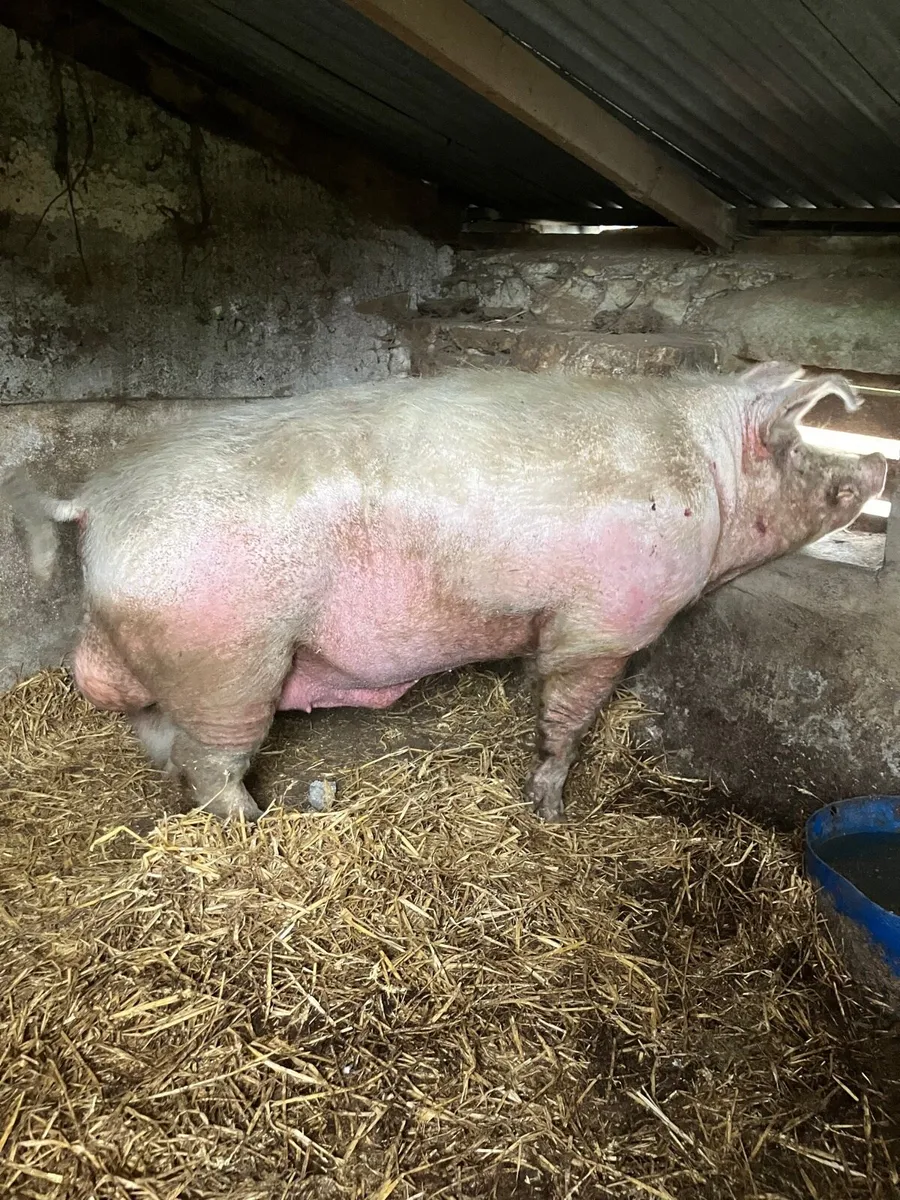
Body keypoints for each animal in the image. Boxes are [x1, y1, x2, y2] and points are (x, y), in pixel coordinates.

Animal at [1, 362, 886, 824]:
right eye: (801, 444)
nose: (879, 460)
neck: (709, 480)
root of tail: (97, 500)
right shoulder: (605, 623)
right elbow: (567, 717)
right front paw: (549, 809)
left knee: (155, 734)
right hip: (228, 658)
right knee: (211, 759)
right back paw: (258, 827)